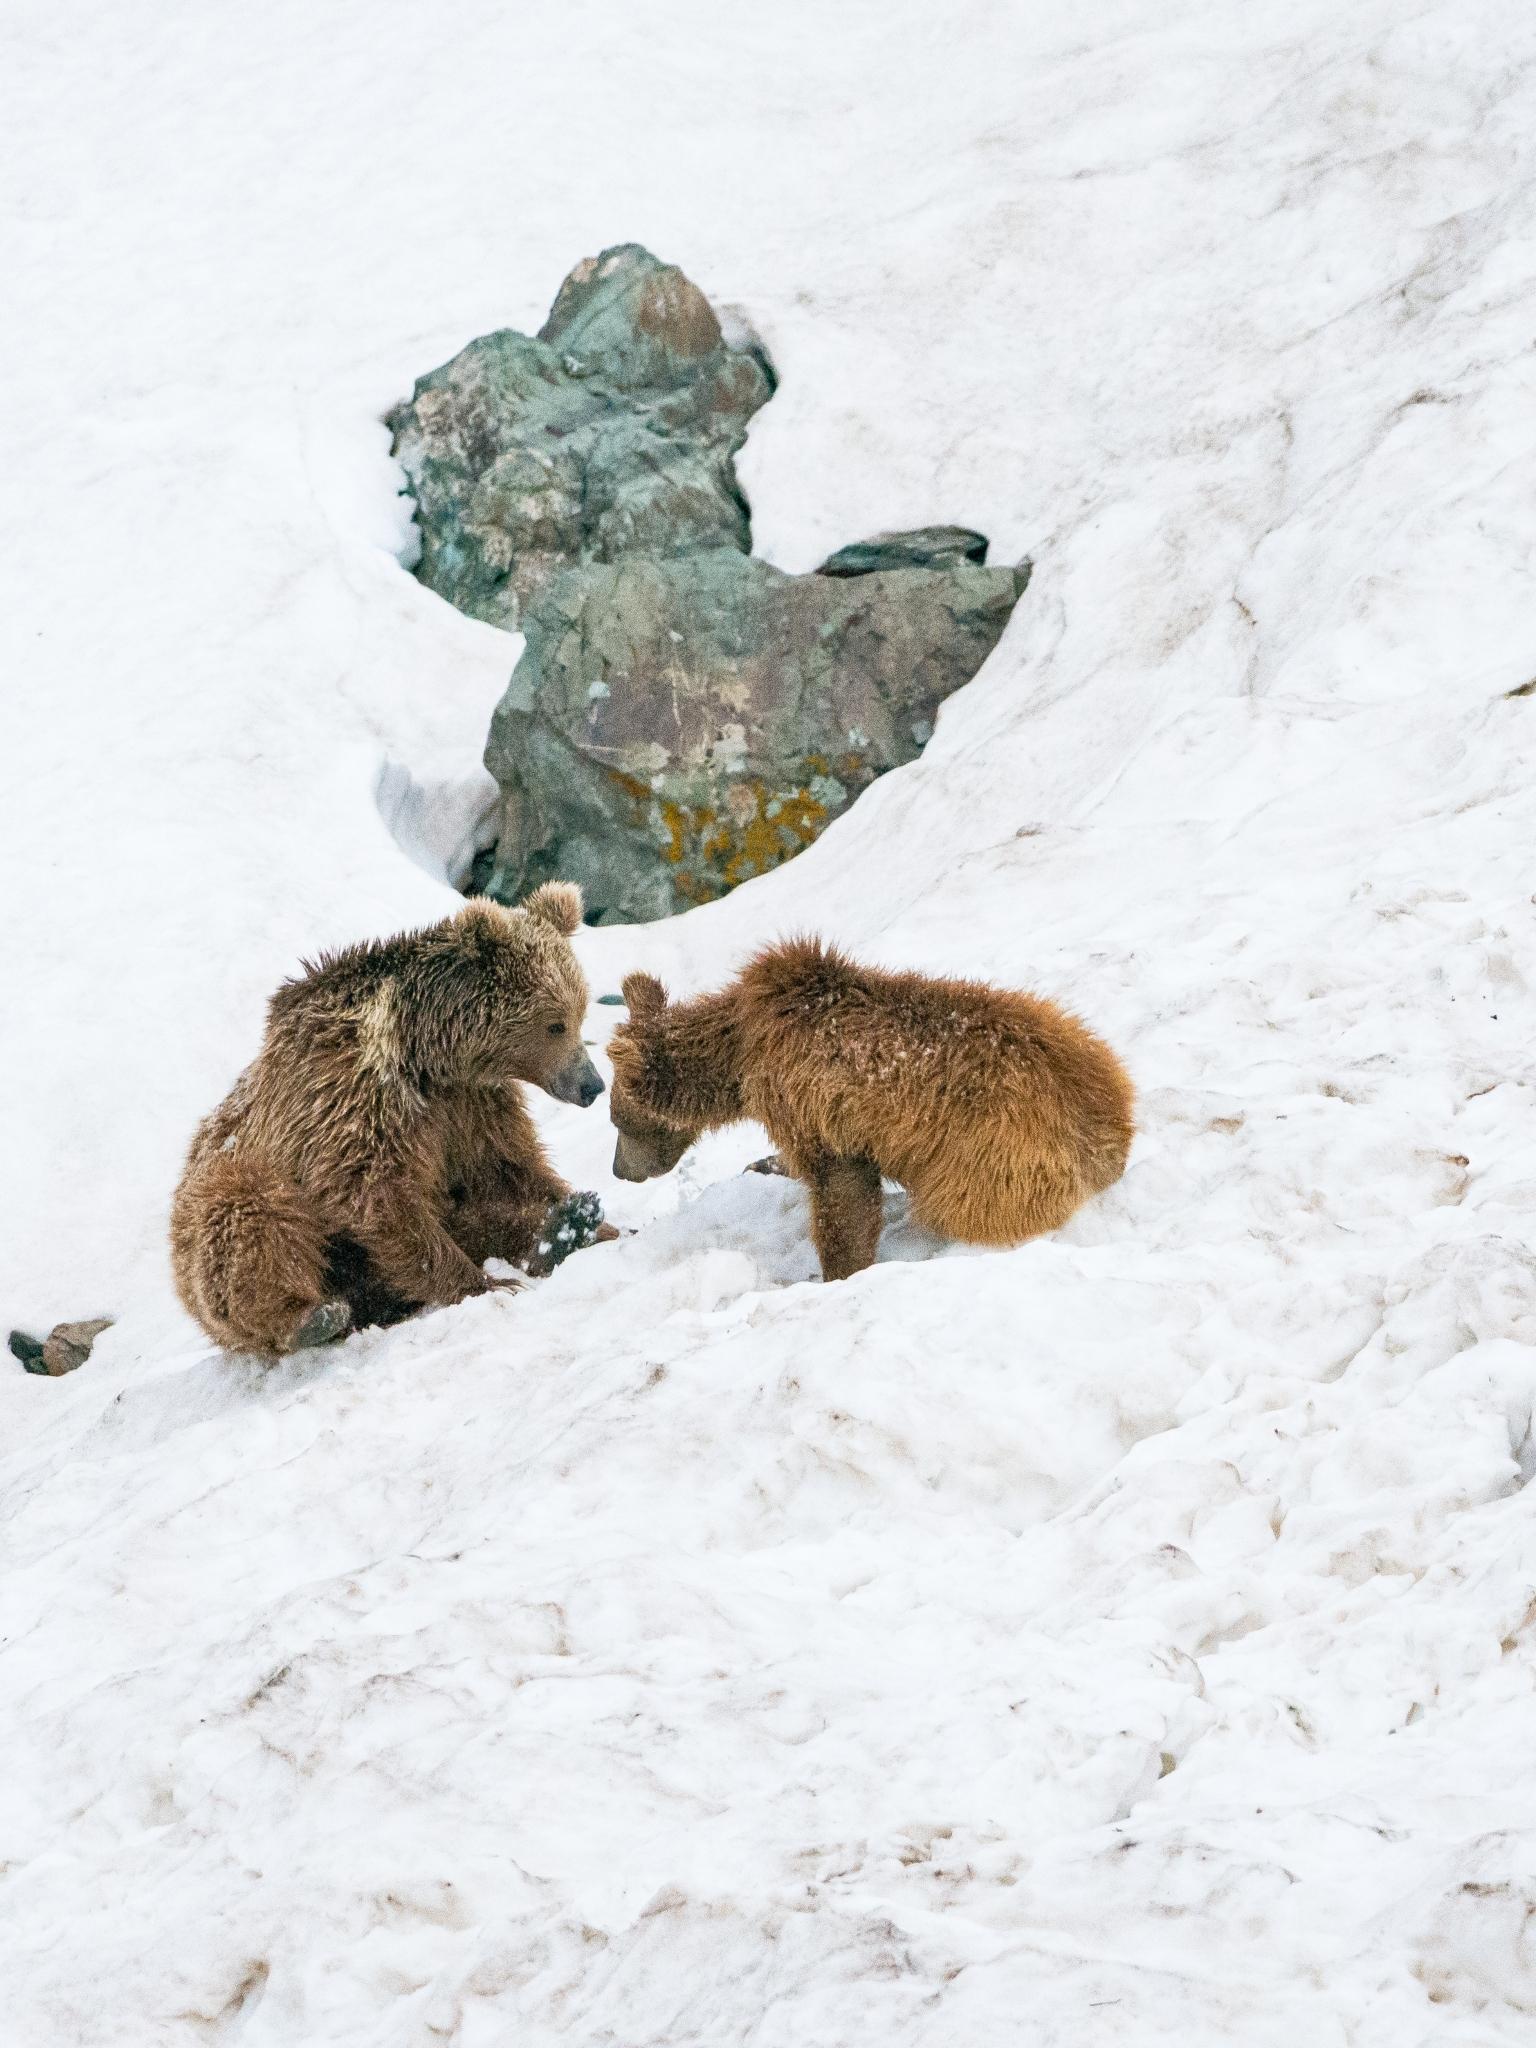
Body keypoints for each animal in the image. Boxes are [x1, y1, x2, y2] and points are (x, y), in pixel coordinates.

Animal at [171, 882, 614, 1355]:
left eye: (580, 1013)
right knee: (249, 1214)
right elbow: (379, 1196)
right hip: (222, 1206)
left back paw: (567, 1229)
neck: (429, 1058)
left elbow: (506, 1168)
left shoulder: (470, 1109)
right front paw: (486, 1284)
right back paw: (309, 1316)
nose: (592, 1085)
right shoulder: (356, 1102)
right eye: (556, 1024)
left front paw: (592, 1215)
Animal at [606, 936, 1134, 1281]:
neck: (739, 1057)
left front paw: (839, 1270)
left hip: (992, 1161)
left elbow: (841, 1194)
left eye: (617, 1120)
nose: (618, 1170)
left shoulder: (809, 1102)